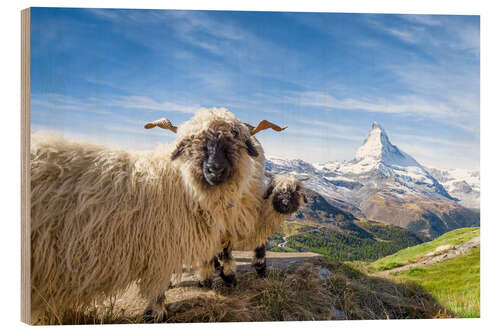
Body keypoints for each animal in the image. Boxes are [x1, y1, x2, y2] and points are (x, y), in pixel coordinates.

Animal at [30, 107, 286, 322]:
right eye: (191, 141)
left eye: (234, 136)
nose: (215, 170)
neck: (180, 183)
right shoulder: (160, 247)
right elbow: (160, 285)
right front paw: (157, 311)